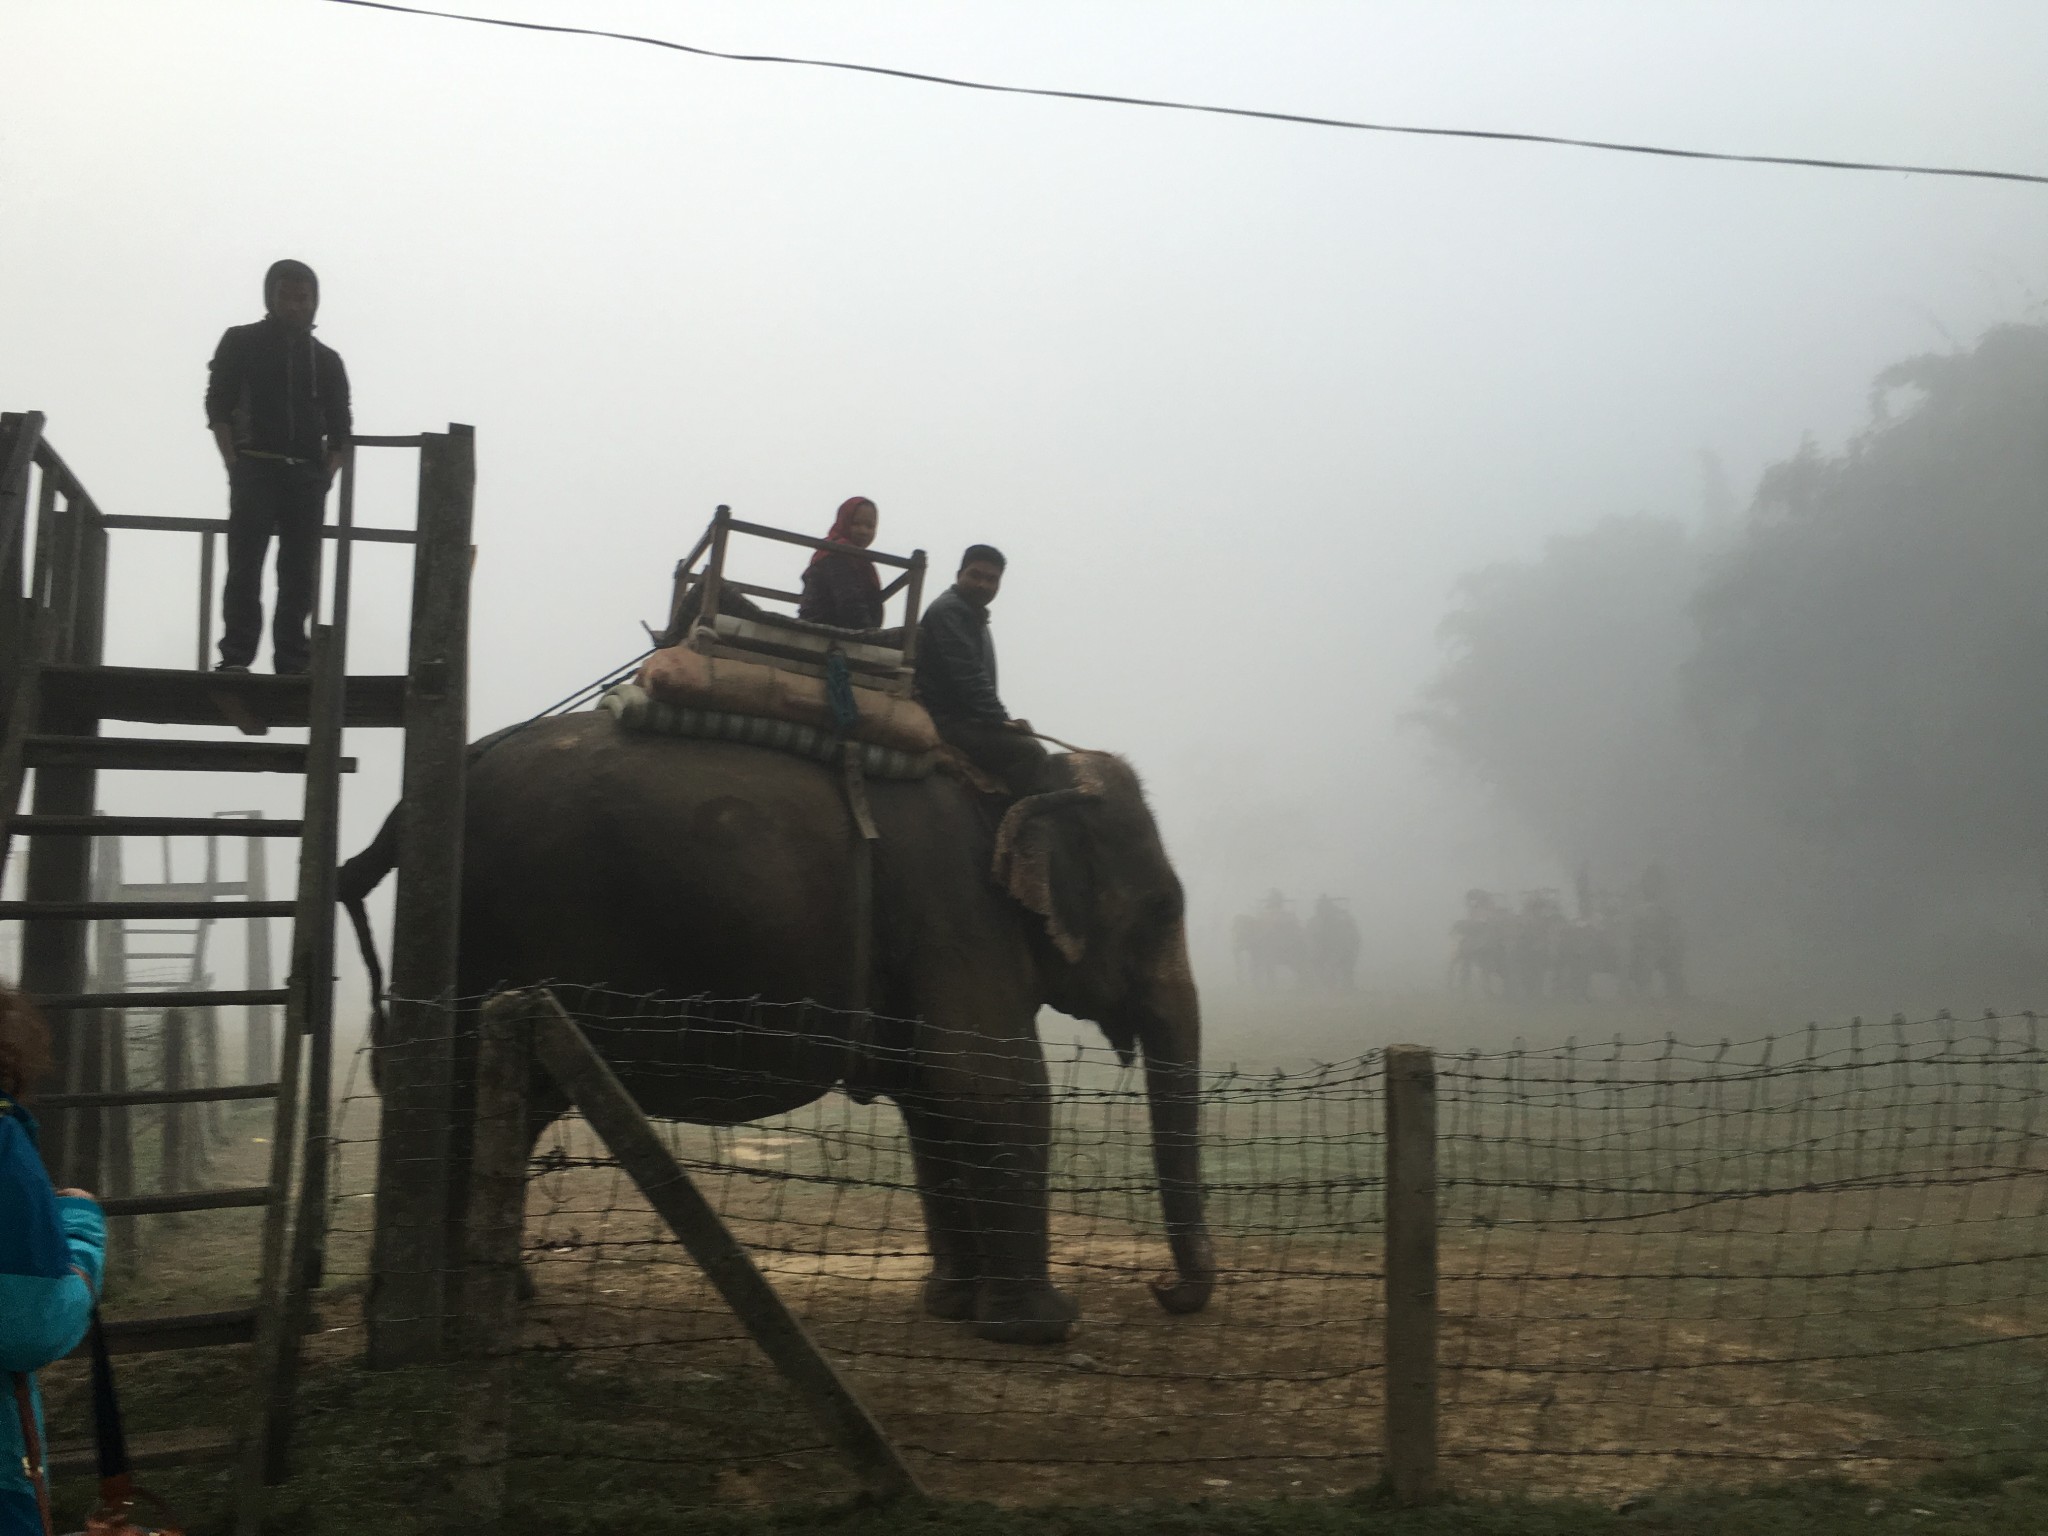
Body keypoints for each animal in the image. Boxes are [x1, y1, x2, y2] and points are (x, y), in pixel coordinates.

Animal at [339, 716, 1212, 1351]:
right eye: (1163, 909)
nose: (1165, 1292)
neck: (1020, 785)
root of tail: (401, 816)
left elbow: (933, 1100)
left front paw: (953, 1309)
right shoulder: (956, 906)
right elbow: (990, 1086)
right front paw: (1040, 1329)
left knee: (495, 1099)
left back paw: (482, 1299)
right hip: (490, 934)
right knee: (458, 1091)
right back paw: (442, 1315)